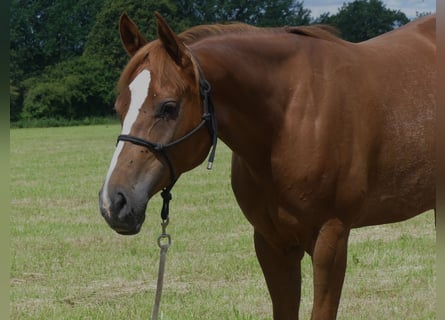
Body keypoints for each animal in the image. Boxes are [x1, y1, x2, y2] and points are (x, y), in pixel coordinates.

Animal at [99, 13, 436, 320]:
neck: (291, 117)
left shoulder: (331, 239)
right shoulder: (271, 243)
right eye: (119, 107)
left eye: (168, 107)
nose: (113, 202)